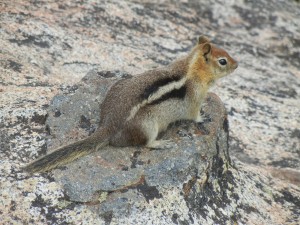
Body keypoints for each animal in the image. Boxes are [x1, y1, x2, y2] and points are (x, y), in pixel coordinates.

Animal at [25, 35, 237, 172]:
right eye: (223, 61)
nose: (237, 64)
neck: (193, 67)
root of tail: (108, 125)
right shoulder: (195, 97)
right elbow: (194, 114)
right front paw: (204, 117)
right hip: (147, 125)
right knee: (146, 144)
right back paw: (161, 143)